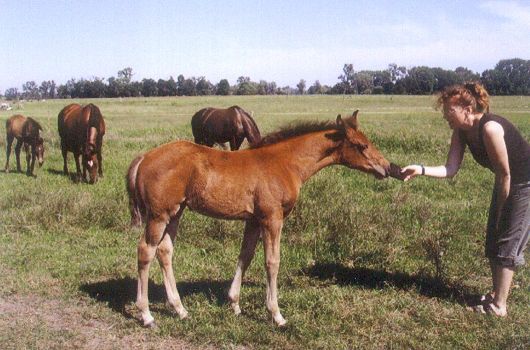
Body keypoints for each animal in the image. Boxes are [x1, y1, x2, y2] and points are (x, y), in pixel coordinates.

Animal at [127, 110, 400, 326]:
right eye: (362, 146)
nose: (388, 168)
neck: (285, 163)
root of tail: (144, 158)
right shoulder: (272, 218)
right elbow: (272, 262)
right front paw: (276, 314)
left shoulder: (254, 219)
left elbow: (245, 256)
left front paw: (235, 304)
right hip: (159, 215)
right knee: (146, 250)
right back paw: (147, 315)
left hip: (176, 212)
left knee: (165, 251)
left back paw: (180, 309)